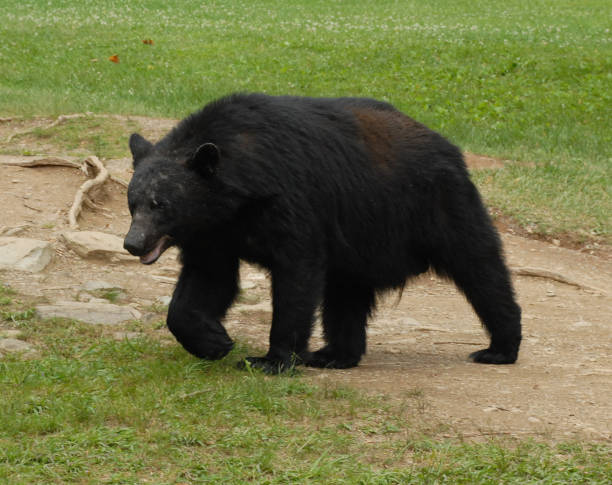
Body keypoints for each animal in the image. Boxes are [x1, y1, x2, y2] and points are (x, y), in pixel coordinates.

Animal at [123, 94, 520, 372]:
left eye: (160, 204)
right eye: (133, 202)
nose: (132, 243)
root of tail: (449, 147)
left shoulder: (290, 202)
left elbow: (297, 273)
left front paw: (271, 359)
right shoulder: (213, 231)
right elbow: (208, 279)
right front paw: (214, 341)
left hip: (440, 207)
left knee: (480, 269)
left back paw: (499, 348)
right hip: (360, 241)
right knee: (345, 294)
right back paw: (334, 355)